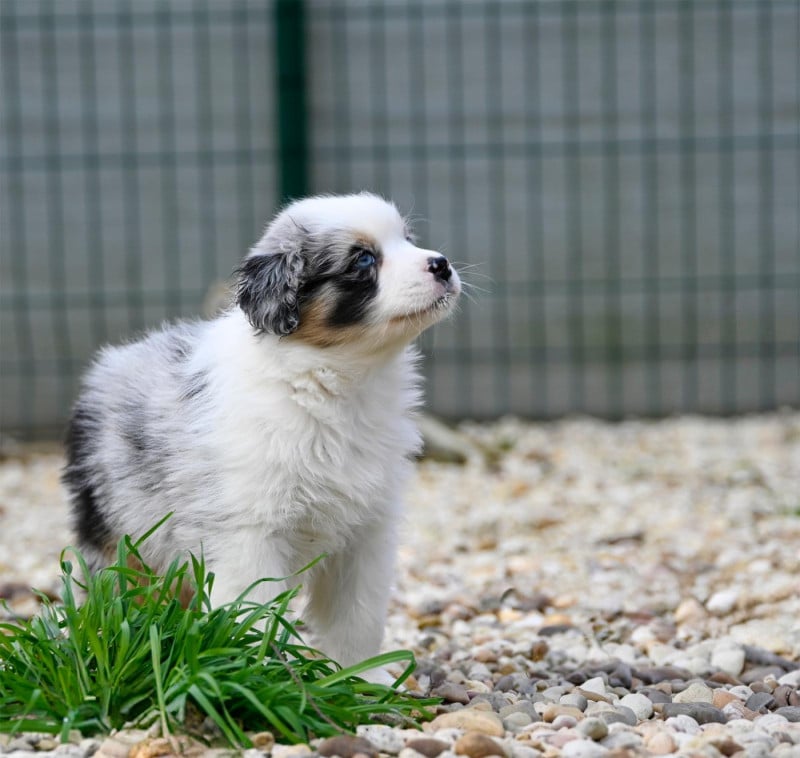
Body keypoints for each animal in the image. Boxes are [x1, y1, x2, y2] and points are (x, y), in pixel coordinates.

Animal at [62, 192, 460, 668]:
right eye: (363, 259)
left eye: (408, 240)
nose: (442, 264)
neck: (328, 382)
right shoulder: (247, 533)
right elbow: (253, 612)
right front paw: (258, 672)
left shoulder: (366, 534)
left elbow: (357, 618)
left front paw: (360, 676)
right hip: (119, 534)